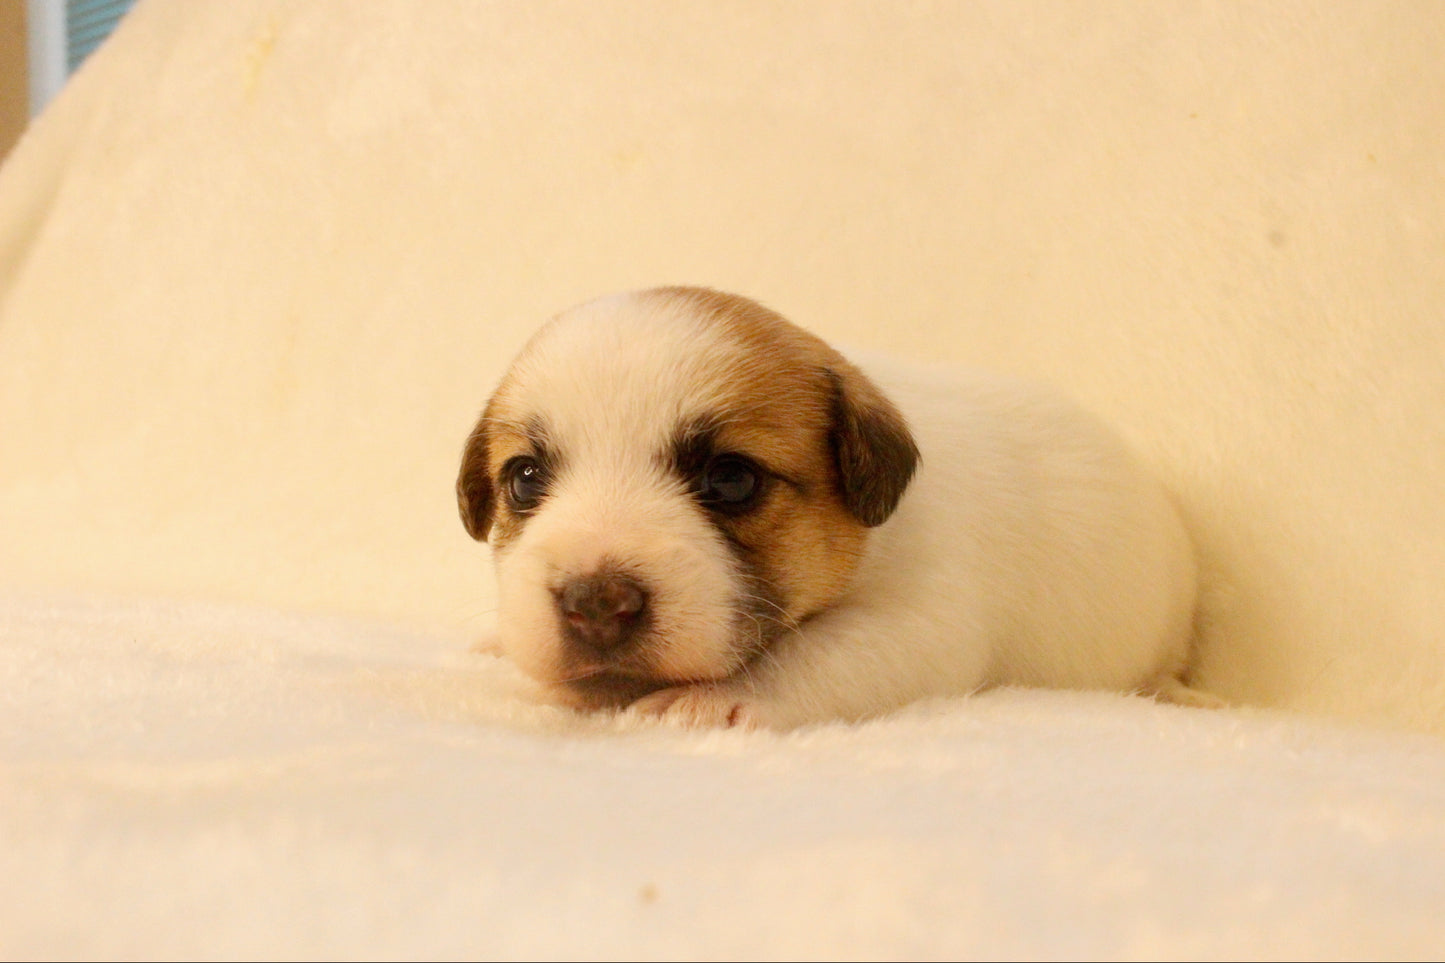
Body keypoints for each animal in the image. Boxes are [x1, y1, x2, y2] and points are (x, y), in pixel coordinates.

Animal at [456, 284, 1202, 728]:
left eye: (731, 480)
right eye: (524, 480)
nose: (594, 603)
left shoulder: (916, 626)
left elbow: (809, 657)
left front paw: (715, 698)